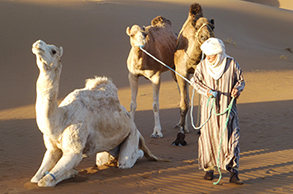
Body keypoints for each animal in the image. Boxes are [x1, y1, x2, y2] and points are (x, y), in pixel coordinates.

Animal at [30, 39, 161, 186]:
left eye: (53, 51)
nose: (38, 43)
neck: (60, 119)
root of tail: (135, 127)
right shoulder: (52, 149)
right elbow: (35, 179)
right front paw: (69, 172)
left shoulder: (74, 151)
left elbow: (45, 181)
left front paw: (71, 172)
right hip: (108, 148)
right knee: (103, 160)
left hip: (132, 135)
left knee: (127, 160)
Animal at [171, 3, 214, 146]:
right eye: (197, 27)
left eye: (212, 27)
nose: (206, 36)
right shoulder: (181, 72)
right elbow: (184, 103)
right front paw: (180, 135)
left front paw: (200, 130)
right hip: (176, 74)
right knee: (183, 96)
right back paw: (181, 126)